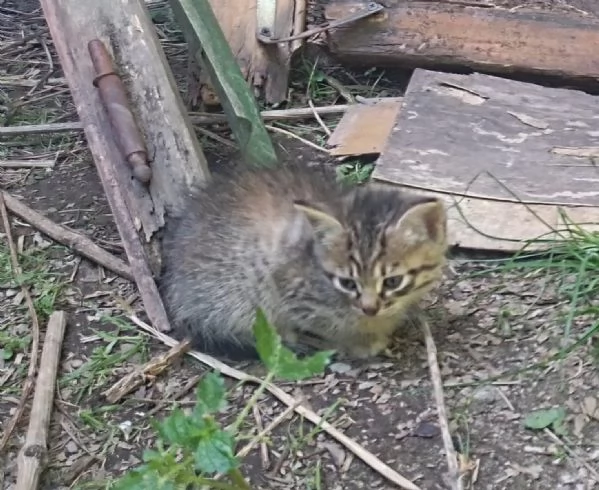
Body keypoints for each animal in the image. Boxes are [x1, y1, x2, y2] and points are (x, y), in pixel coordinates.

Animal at [159, 163, 450, 358]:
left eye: (392, 281)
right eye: (347, 283)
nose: (369, 309)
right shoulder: (288, 289)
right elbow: (327, 326)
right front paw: (363, 342)